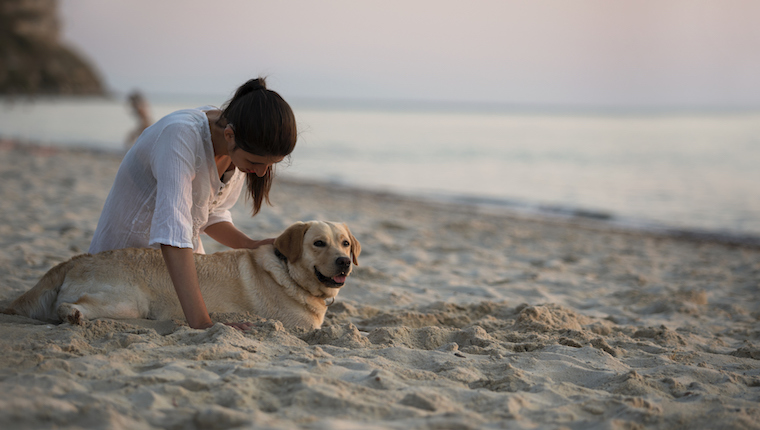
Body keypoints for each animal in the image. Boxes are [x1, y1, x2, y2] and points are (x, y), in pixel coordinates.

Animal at [5, 220, 362, 330]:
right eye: (318, 243)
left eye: (345, 242)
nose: (344, 261)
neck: (289, 273)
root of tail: (74, 260)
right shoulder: (300, 328)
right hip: (128, 303)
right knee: (65, 306)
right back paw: (73, 316)